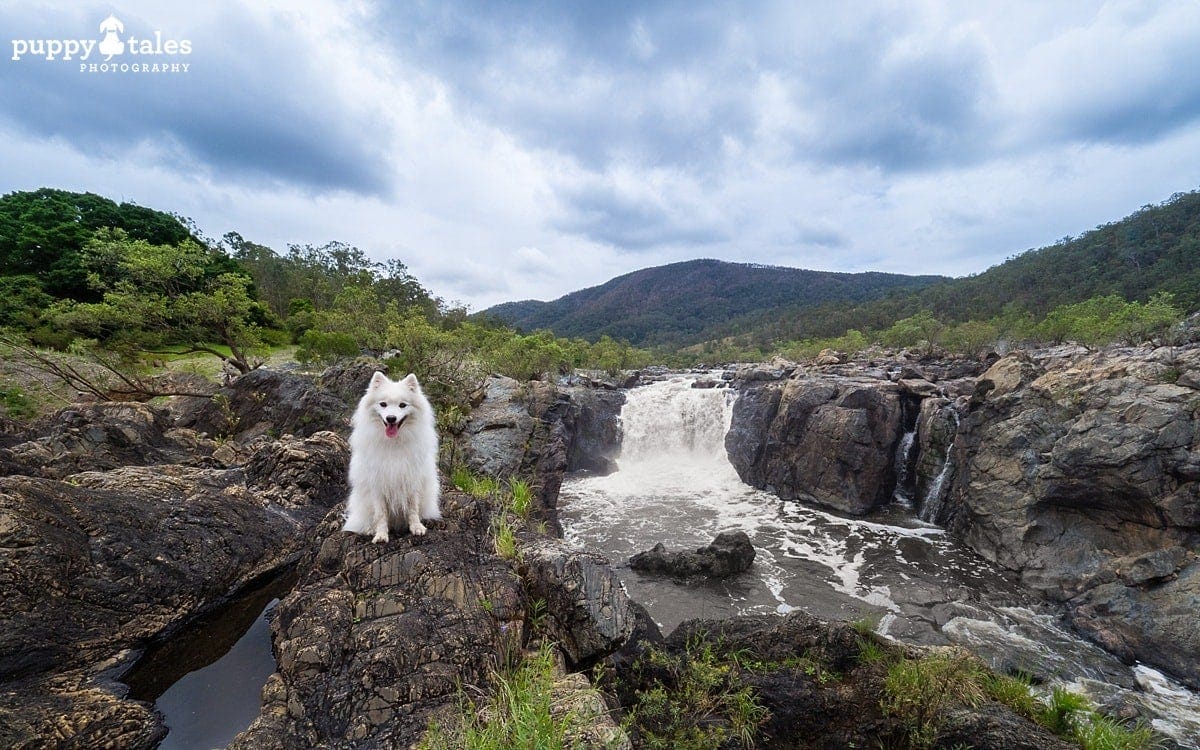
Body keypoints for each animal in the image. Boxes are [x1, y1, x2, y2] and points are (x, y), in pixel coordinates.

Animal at [343, 372, 441, 540]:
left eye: (402, 405)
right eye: (383, 404)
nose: (391, 418)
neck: (394, 443)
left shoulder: (412, 479)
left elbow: (413, 508)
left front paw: (416, 527)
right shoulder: (377, 483)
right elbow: (381, 513)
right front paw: (381, 535)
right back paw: (370, 529)